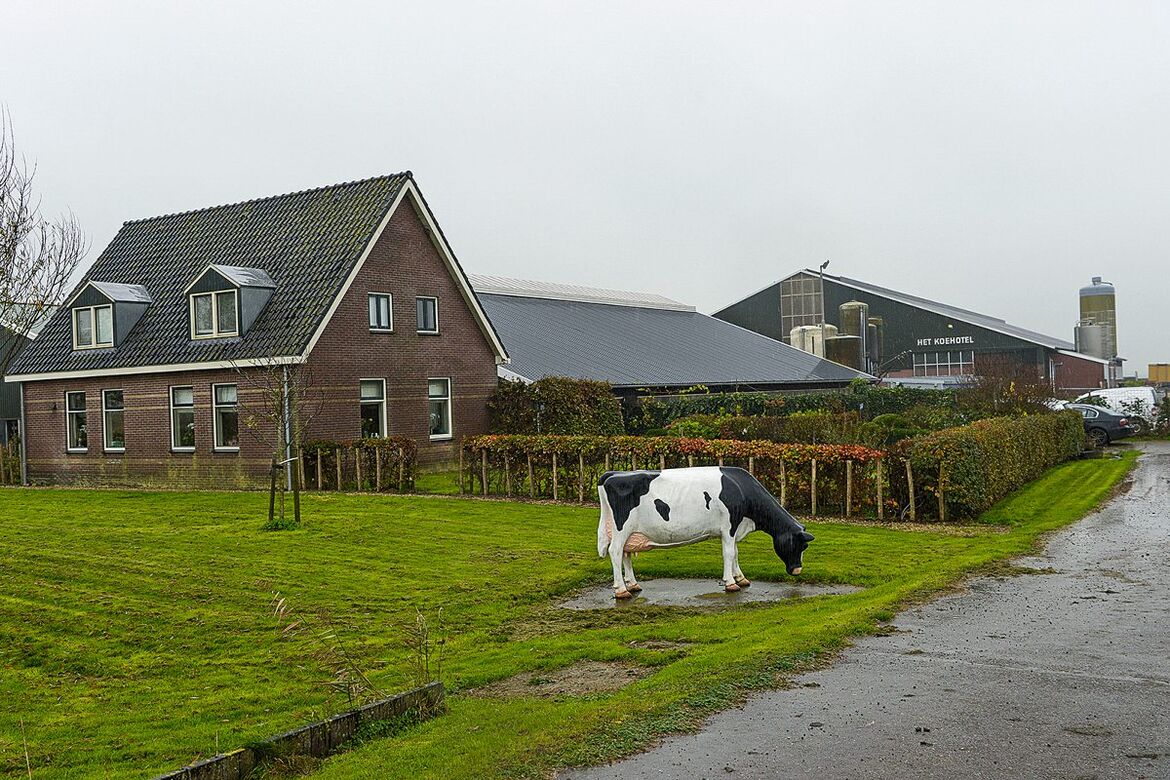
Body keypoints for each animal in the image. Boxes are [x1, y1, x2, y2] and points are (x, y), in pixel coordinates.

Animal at [594, 467, 814, 603]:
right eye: (801, 545)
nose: (797, 570)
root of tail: (611, 475)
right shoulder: (729, 525)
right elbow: (729, 554)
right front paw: (731, 583)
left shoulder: (734, 528)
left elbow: (735, 553)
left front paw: (741, 578)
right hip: (622, 528)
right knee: (615, 552)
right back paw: (621, 590)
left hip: (630, 533)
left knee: (625, 554)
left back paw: (633, 585)